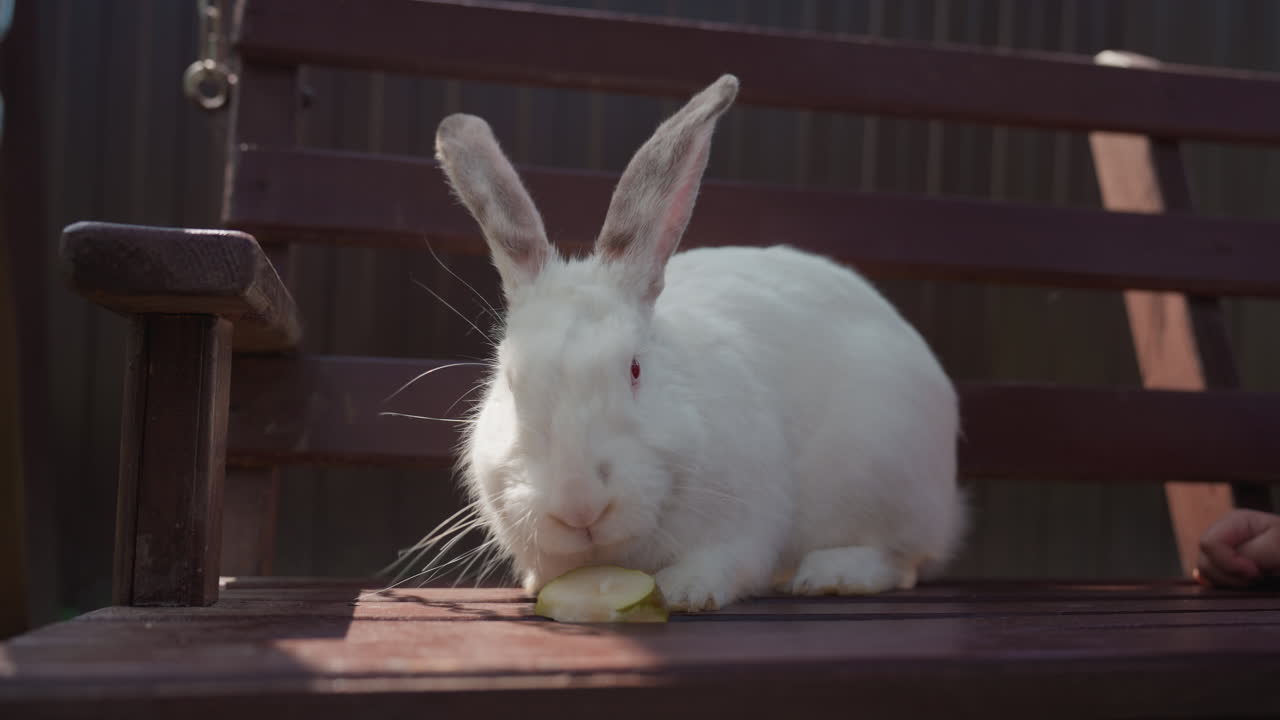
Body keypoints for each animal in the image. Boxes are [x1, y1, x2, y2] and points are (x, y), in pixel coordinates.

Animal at [435, 74, 965, 611]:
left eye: (635, 369)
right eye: (510, 382)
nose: (579, 504)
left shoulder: (745, 523)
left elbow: (725, 562)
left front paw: (687, 591)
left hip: (886, 477)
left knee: (899, 557)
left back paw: (831, 574)